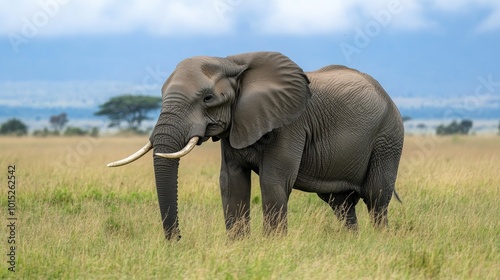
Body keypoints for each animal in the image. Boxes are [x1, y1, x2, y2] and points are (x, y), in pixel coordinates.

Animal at [107, 51, 404, 240]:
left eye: (207, 98)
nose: (177, 239)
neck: (232, 62)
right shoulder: (235, 125)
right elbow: (231, 181)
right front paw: (239, 246)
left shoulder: (290, 124)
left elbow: (273, 181)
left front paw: (274, 247)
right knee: (340, 203)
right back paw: (353, 243)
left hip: (388, 138)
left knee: (376, 197)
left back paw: (379, 241)